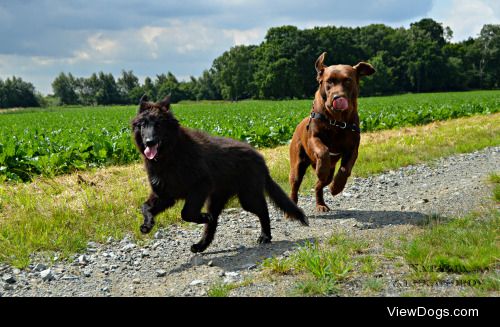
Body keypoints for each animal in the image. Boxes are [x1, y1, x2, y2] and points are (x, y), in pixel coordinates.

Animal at [131, 95, 306, 254]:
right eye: (143, 124)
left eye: (159, 124)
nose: (149, 142)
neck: (171, 153)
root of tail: (260, 158)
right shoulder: (164, 194)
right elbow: (145, 207)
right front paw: (147, 224)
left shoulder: (200, 185)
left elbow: (186, 212)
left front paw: (202, 217)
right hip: (218, 198)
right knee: (213, 224)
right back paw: (201, 245)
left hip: (248, 197)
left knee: (263, 210)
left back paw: (265, 236)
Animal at [288, 52, 374, 213]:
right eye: (329, 81)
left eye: (348, 81)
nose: (337, 97)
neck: (337, 120)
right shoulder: (314, 138)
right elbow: (323, 150)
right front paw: (322, 169)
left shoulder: (353, 148)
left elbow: (346, 169)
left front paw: (336, 187)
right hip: (297, 164)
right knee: (295, 185)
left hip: (329, 172)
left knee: (319, 184)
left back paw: (321, 204)